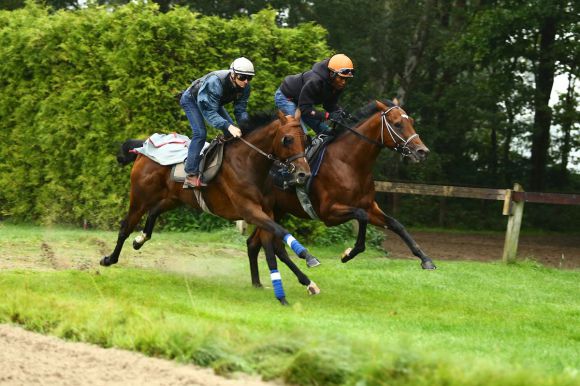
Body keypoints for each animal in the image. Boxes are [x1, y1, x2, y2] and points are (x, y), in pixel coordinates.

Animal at [105, 111, 322, 304]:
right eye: (287, 139)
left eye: (306, 139)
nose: (303, 174)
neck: (248, 163)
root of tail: (143, 147)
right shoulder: (250, 211)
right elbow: (279, 236)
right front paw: (307, 258)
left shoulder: (266, 212)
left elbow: (273, 249)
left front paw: (297, 286)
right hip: (140, 197)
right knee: (126, 226)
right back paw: (109, 259)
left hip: (173, 198)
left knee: (153, 212)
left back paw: (139, 240)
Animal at [247, 99, 438, 292]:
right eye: (398, 124)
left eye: (411, 121)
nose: (422, 151)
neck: (349, 163)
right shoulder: (329, 213)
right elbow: (361, 217)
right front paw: (347, 254)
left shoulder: (370, 206)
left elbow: (396, 224)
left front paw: (426, 260)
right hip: (267, 209)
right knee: (273, 245)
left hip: (277, 211)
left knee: (253, 243)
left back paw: (257, 282)